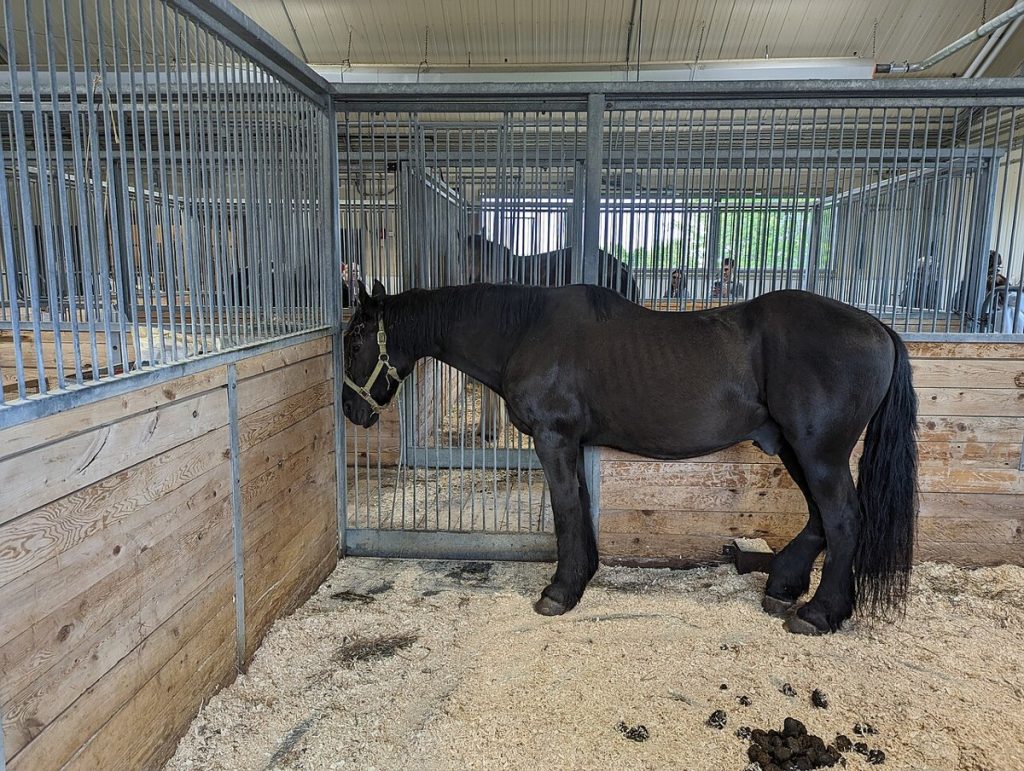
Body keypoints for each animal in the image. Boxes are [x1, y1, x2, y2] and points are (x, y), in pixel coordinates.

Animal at [341, 280, 919, 635]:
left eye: (354, 341)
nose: (351, 409)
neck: (525, 331)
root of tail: (878, 327)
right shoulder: (572, 443)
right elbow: (579, 506)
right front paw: (582, 577)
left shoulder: (552, 438)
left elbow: (565, 511)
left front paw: (559, 592)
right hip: (797, 449)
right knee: (822, 519)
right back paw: (784, 588)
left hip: (820, 452)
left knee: (843, 519)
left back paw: (818, 614)